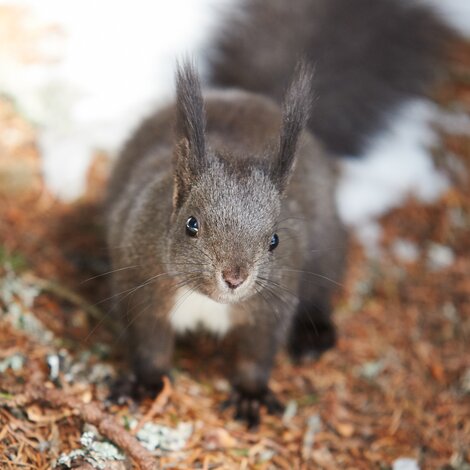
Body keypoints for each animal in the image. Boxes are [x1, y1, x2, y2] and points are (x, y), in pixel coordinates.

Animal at [105, 0, 452, 426]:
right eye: (191, 224)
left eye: (274, 239)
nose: (234, 278)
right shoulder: (142, 289)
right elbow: (149, 348)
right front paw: (143, 385)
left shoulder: (273, 303)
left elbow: (258, 354)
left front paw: (251, 395)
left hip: (327, 247)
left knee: (320, 292)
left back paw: (313, 336)